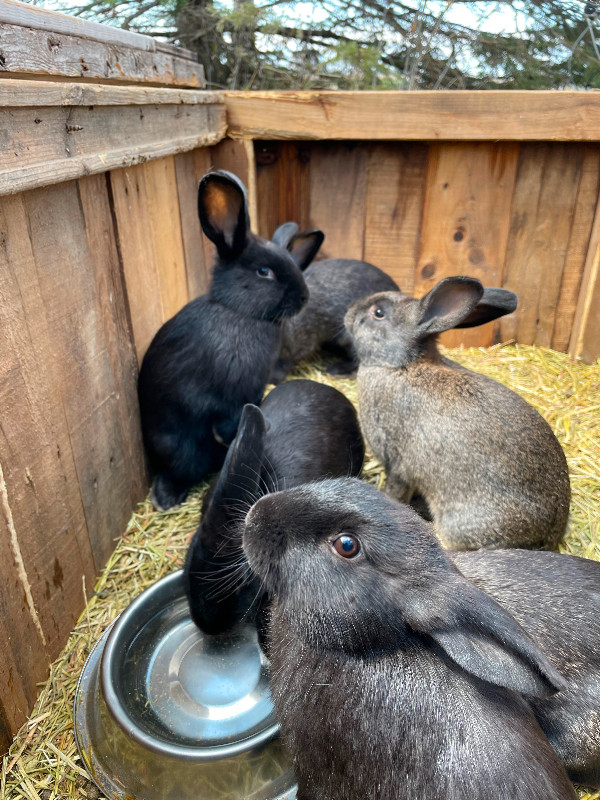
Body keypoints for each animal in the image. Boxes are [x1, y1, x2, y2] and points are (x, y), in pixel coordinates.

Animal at [137, 170, 324, 510]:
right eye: (264, 271)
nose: (304, 297)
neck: (239, 312)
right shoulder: (229, 392)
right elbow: (225, 415)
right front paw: (238, 433)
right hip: (177, 447)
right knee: (180, 469)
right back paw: (165, 498)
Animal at [344, 276, 568, 552]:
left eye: (378, 313)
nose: (349, 311)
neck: (400, 365)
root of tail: (550, 538)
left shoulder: (397, 465)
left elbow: (395, 491)